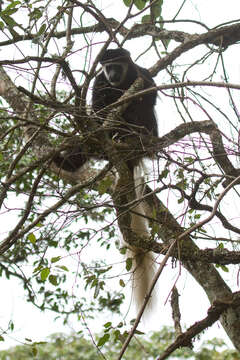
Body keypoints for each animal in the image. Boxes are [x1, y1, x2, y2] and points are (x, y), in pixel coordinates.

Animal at [54, 48, 158, 316]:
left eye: (116, 65)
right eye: (107, 67)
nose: (111, 74)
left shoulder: (141, 74)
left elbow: (149, 94)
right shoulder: (99, 82)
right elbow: (98, 106)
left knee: (140, 112)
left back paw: (132, 136)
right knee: (91, 136)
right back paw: (68, 161)